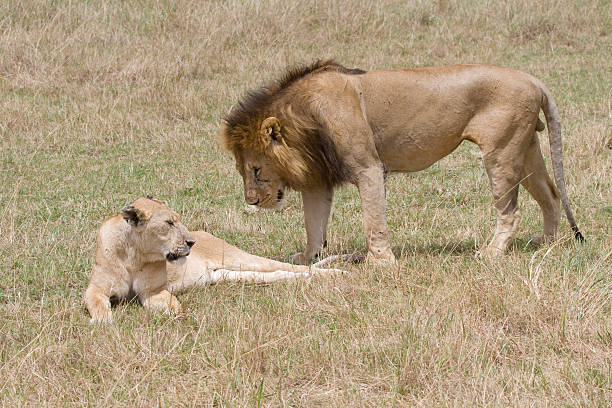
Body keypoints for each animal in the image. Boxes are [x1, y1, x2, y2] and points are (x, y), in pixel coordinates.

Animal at [85, 196, 350, 324]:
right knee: (279, 274)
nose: (191, 242)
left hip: (241, 258)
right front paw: (103, 321)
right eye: (169, 223)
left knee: (291, 266)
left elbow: (172, 305)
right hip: (230, 274)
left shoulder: (153, 292)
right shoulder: (96, 288)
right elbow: (97, 303)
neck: (135, 255)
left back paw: (340, 273)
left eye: (178, 219)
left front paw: (176, 314)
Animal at [219, 59, 584, 264]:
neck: (303, 122)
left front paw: (380, 263)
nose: (252, 201)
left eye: (256, 171)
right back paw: (546, 243)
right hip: (525, 148)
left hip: (501, 152)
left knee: (511, 211)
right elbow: (314, 225)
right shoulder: (317, 179)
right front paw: (309, 258)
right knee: (551, 195)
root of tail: (532, 79)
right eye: (243, 170)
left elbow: (373, 222)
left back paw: (493, 253)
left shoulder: (368, 168)